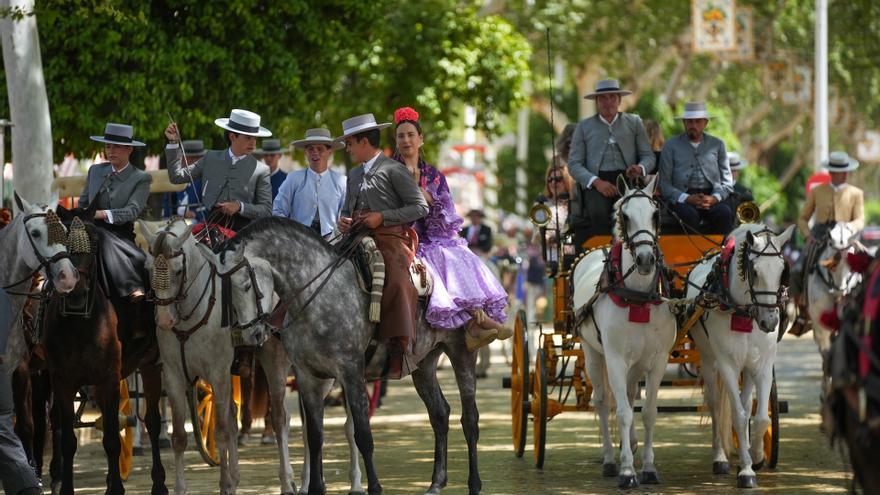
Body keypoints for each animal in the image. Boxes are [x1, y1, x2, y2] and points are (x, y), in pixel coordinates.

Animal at [45, 209, 168, 495]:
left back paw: (159, 482)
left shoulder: (108, 378)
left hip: (151, 365)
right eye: (58, 243)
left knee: (152, 421)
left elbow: (112, 437)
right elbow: (68, 439)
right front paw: (66, 486)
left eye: (92, 246)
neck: (80, 323)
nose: (74, 292)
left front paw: (116, 489)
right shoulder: (63, 381)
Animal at [227, 219, 484, 495]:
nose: (251, 334)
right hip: (423, 363)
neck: (319, 295)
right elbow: (315, 436)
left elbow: (362, 433)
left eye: (246, 285)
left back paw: (474, 483)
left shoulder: (350, 372)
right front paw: (315, 487)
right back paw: (436, 482)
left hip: (462, 352)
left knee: (470, 419)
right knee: (439, 413)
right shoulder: (308, 376)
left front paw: (373, 487)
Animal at [576, 177, 676, 488]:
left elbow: (648, 413)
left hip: (636, 362)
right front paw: (627, 471)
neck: (638, 296)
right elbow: (620, 413)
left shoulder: (658, 360)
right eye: (625, 216)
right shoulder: (615, 358)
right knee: (602, 402)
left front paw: (648, 467)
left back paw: (628, 446)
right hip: (593, 354)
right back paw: (611, 459)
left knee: (631, 397)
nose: (644, 259)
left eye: (656, 214)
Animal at [688, 225, 796, 488]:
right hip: (709, 359)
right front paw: (746, 470)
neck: (744, 312)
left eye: (782, 270)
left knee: (747, 403)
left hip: (747, 366)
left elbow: (760, 418)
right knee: (716, 404)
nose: (770, 322)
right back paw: (720, 458)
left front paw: (756, 457)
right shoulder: (727, 365)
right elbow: (737, 415)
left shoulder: (763, 365)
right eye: (754, 271)